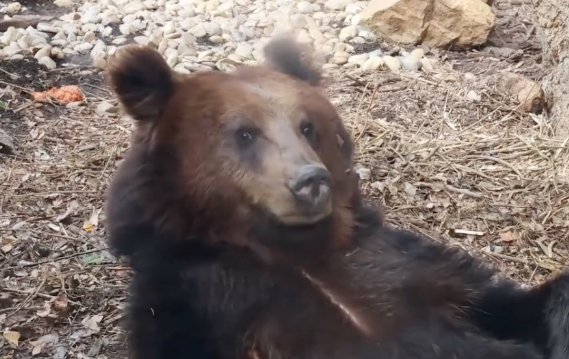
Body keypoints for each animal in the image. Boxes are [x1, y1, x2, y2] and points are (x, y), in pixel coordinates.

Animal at [104, 35, 568, 359]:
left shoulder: (399, 264)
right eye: (245, 133)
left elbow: (509, 305)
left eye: (307, 127)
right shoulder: (203, 300)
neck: (287, 248)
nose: (310, 180)